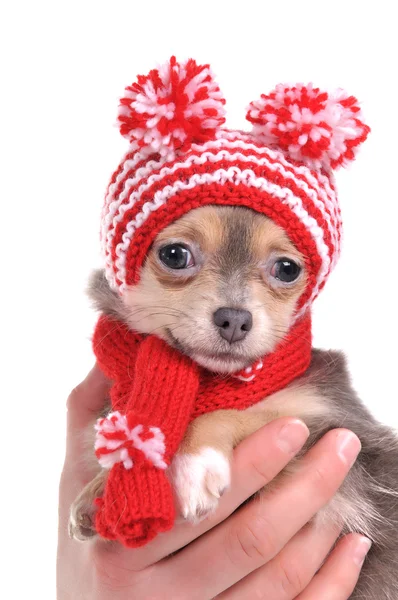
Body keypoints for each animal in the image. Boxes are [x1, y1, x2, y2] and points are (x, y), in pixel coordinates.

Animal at [70, 205, 398, 600]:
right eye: (174, 255)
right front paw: (101, 488)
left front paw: (194, 463)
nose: (235, 319)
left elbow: (236, 411)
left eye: (287, 268)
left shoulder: (344, 437)